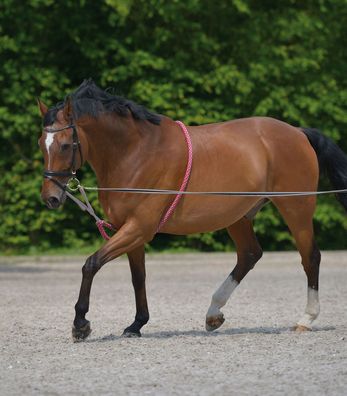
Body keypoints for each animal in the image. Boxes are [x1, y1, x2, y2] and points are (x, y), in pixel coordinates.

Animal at [38, 79, 347, 340]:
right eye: (42, 144)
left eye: (65, 145)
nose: (50, 198)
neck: (135, 152)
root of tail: (298, 132)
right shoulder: (131, 230)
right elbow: (138, 277)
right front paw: (136, 324)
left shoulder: (139, 228)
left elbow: (91, 264)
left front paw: (80, 324)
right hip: (237, 216)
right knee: (249, 254)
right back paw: (213, 314)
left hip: (296, 208)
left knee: (310, 257)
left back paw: (306, 319)